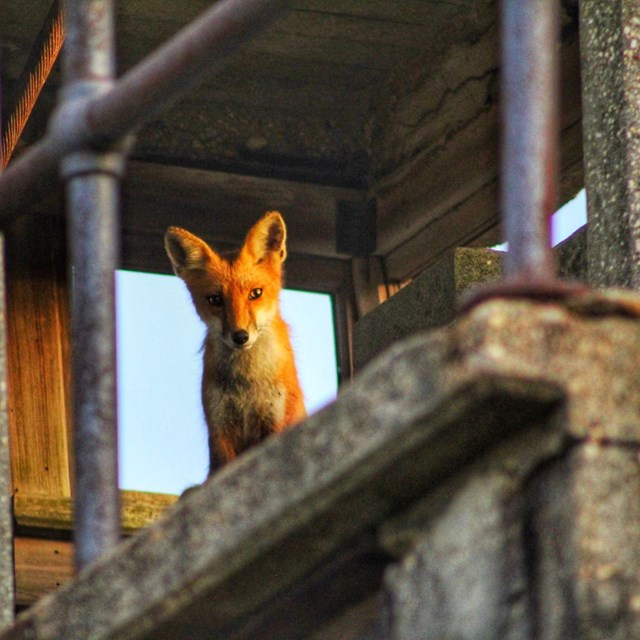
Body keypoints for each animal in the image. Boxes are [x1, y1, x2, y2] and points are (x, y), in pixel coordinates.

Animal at [164, 212, 306, 472]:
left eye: (256, 293)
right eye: (215, 300)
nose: (240, 337)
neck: (247, 384)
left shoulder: (276, 420)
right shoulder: (219, 428)